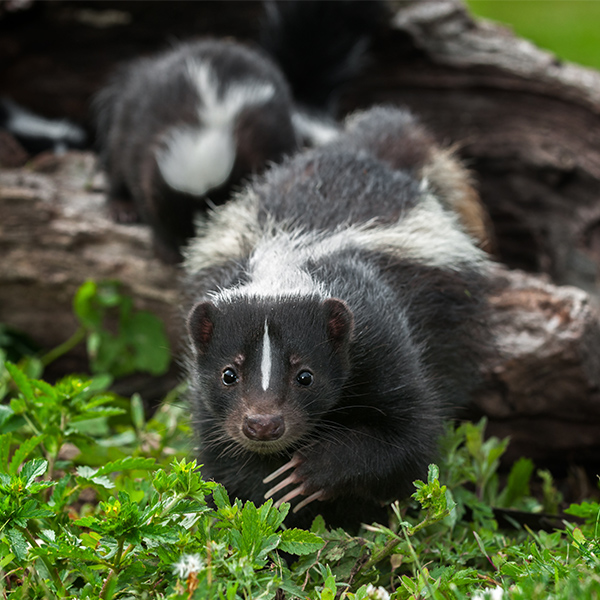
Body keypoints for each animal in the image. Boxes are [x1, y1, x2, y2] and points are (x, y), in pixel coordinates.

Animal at [91, 0, 386, 262]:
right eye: (178, 219)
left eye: (220, 208)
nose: (192, 248)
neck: (207, 126)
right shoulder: (143, 145)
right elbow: (141, 188)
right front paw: (164, 245)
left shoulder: (267, 137)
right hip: (126, 117)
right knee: (116, 162)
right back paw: (121, 208)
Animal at [184, 108, 492, 528]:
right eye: (228, 375)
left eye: (306, 376)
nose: (263, 424)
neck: (290, 258)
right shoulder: (205, 396)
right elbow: (226, 461)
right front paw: (269, 505)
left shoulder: (381, 334)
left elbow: (409, 437)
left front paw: (309, 474)